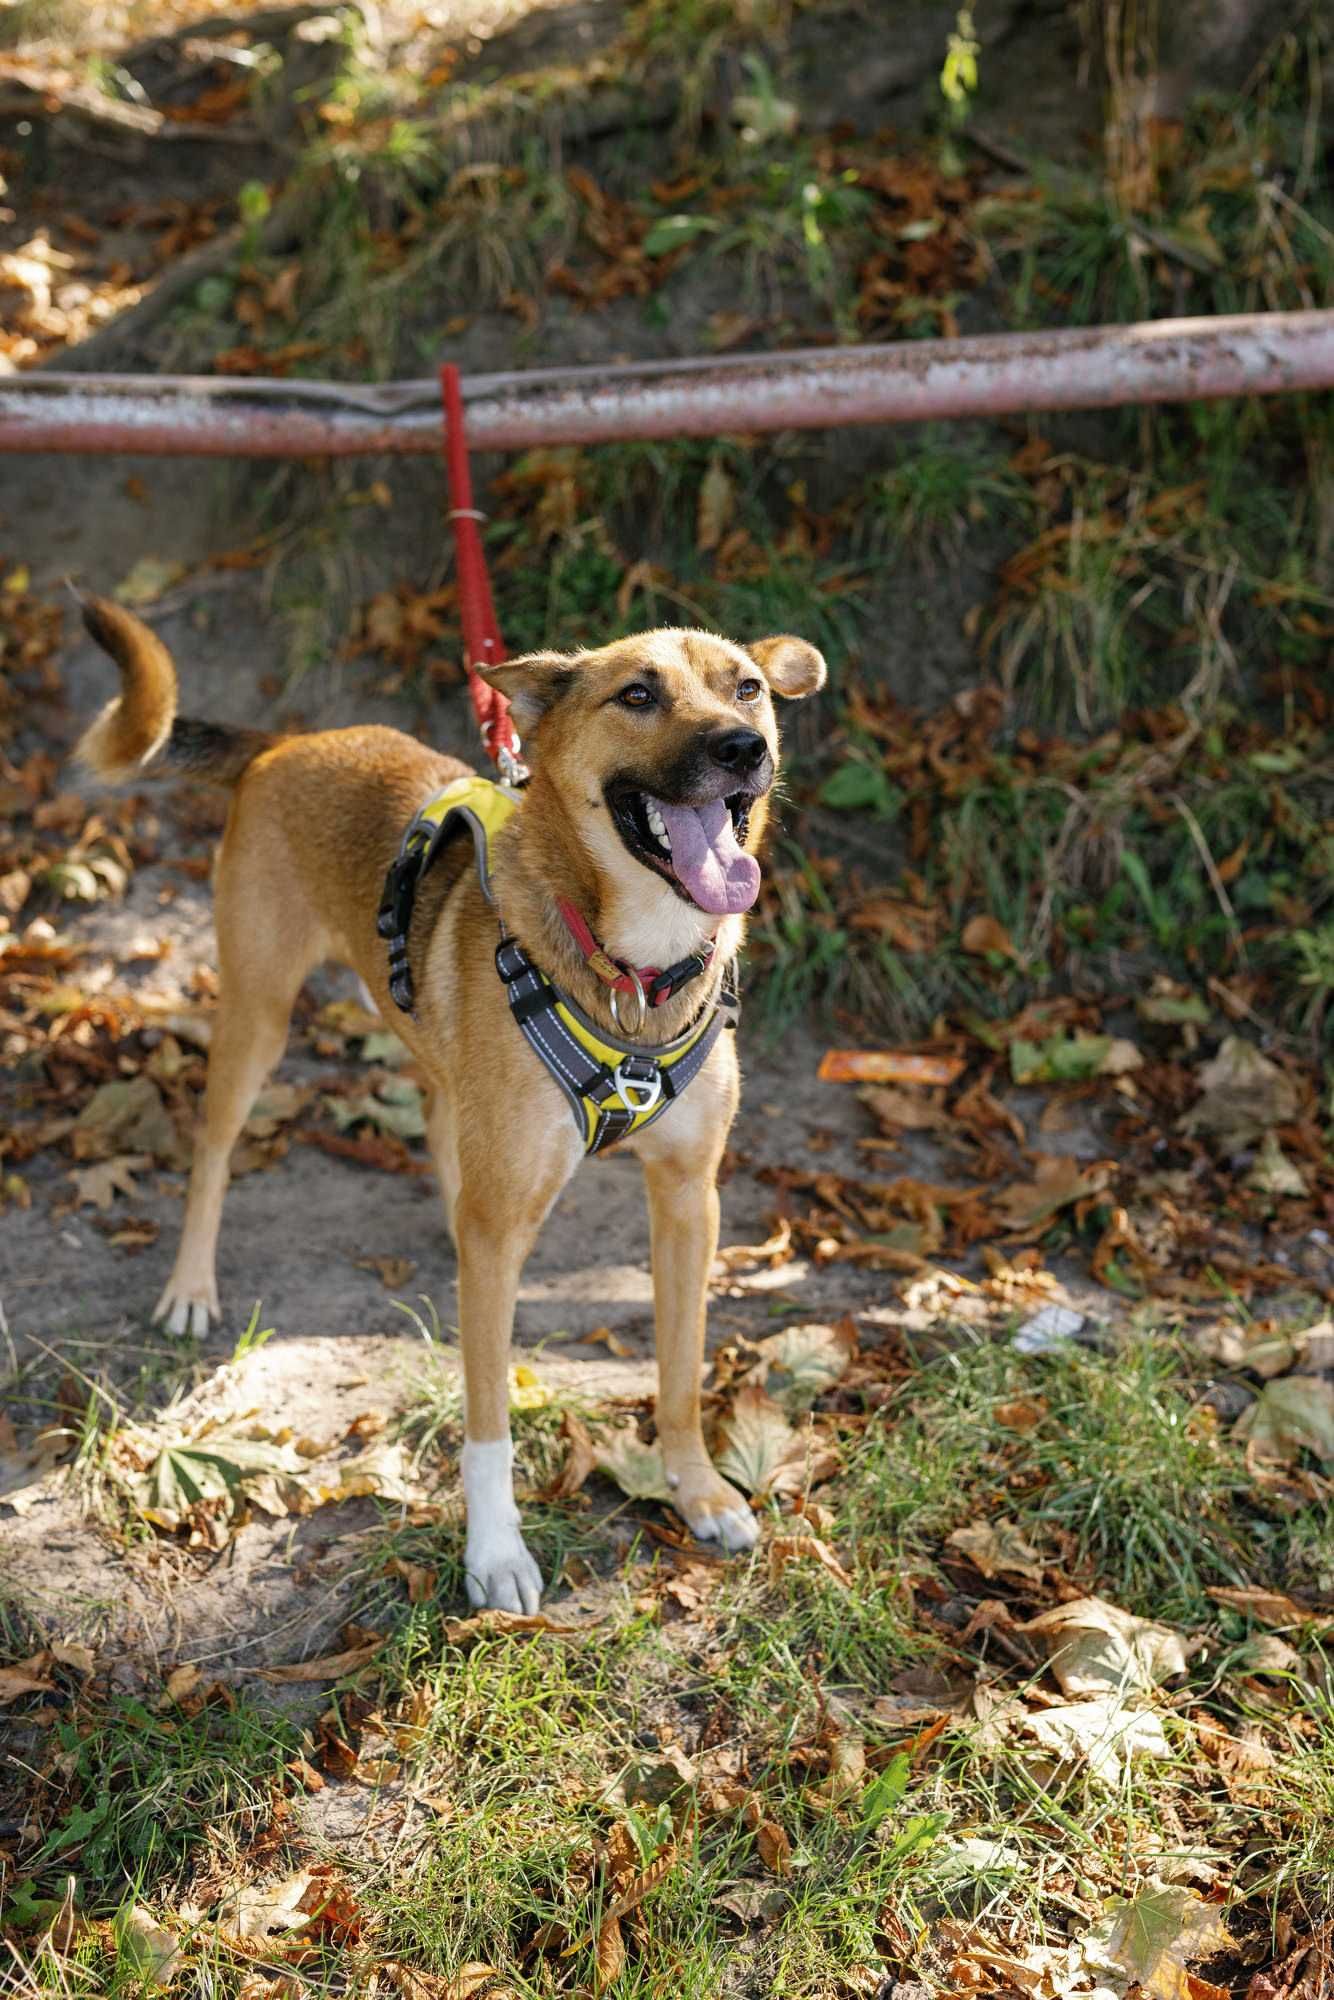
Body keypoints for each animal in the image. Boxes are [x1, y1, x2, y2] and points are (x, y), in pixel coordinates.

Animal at [75, 596, 824, 1608]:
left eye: (746, 686)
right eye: (638, 695)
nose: (744, 747)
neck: (632, 973)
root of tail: (291, 742)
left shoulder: (687, 1201)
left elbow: (677, 1371)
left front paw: (697, 1490)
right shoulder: (513, 1232)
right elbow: (488, 1426)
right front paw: (495, 1554)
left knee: (440, 1122)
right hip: (257, 1017)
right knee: (214, 1151)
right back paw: (191, 1288)